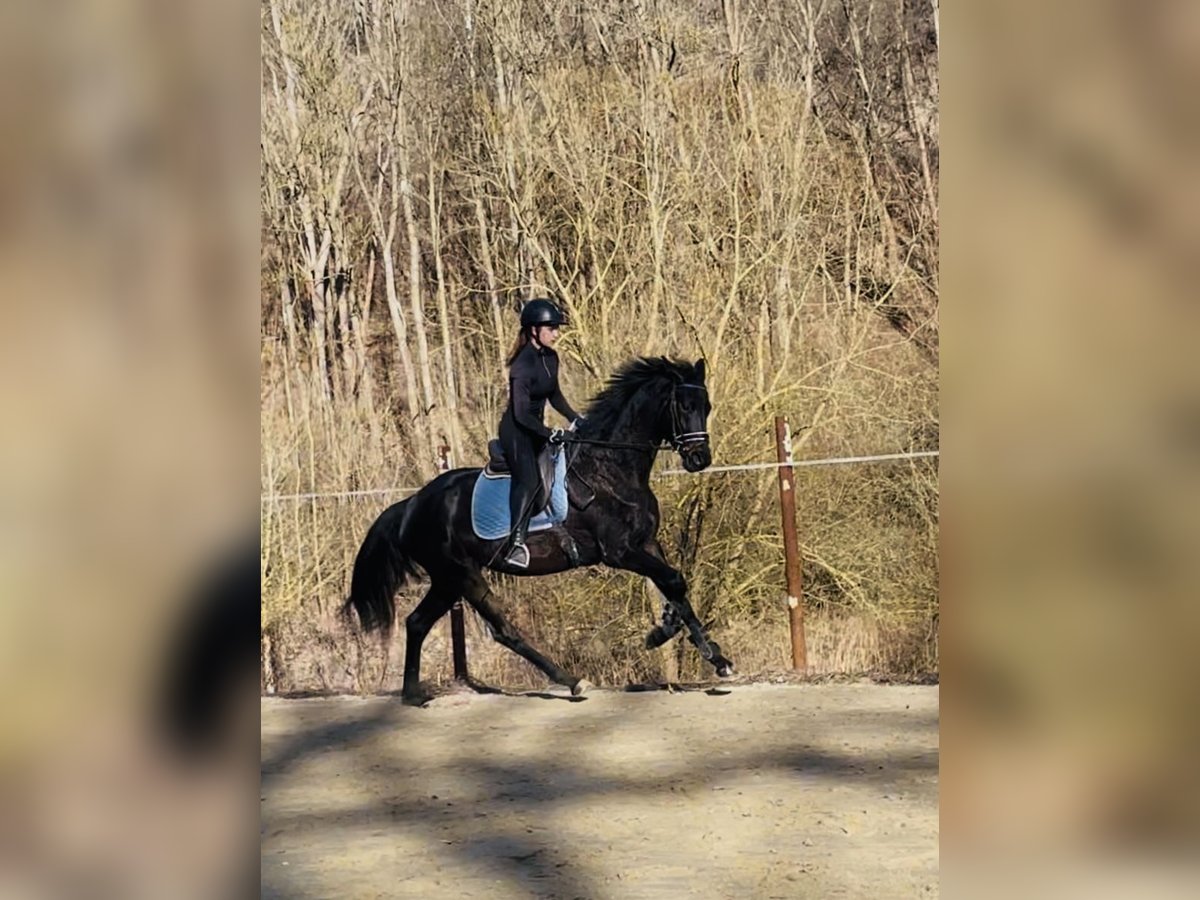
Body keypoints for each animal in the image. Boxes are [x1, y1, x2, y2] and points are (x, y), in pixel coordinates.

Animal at [345, 355, 729, 705]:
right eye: (684, 406)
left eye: (707, 406)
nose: (700, 459)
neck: (610, 469)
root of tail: (410, 505)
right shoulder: (619, 552)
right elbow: (674, 580)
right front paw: (695, 647)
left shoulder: (646, 543)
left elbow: (674, 586)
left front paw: (703, 649)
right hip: (459, 575)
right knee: (496, 630)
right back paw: (572, 682)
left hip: (449, 581)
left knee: (421, 623)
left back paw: (414, 693)